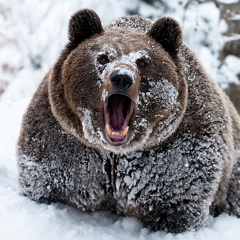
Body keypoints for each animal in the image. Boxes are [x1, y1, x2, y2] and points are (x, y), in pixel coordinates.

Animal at [17, 8, 240, 232]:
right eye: (103, 57)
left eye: (142, 61)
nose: (122, 77)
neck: (116, 154)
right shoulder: (63, 144)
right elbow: (44, 182)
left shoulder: (179, 153)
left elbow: (179, 202)